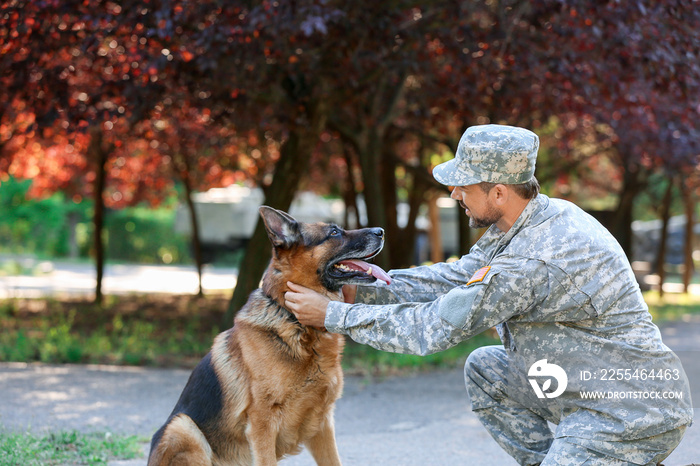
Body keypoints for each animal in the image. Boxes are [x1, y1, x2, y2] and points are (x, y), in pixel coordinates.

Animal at [148, 208, 392, 466]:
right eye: (334, 232)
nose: (381, 231)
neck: (295, 322)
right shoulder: (262, 426)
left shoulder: (322, 425)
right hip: (183, 426)